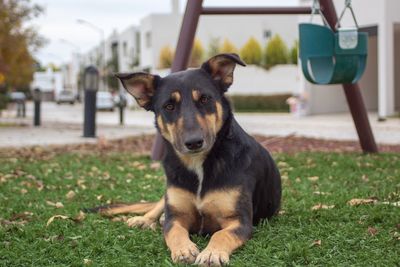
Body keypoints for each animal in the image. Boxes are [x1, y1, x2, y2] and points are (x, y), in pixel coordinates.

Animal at [102, 53, 282, 266]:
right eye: (169, 106)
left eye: (204, 99)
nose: (194, 142)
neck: (199, 164)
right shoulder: (175, 216)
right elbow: (174, 231)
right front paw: (184, 249)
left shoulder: (240, 220)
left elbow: (221, 234)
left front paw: (212, 253)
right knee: (159, 205)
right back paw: (144, 219)